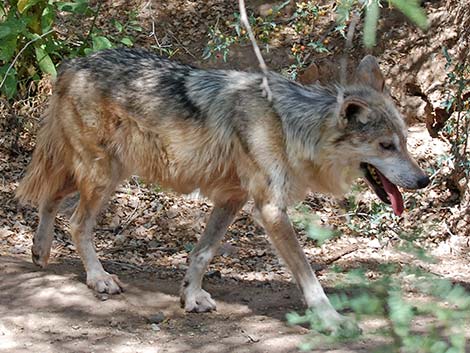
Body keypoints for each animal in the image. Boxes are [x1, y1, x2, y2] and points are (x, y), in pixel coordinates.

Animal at [16, 47, 430, 336]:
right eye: (386, 146)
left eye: (406, 143)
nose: (424, 180)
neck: (291, 127)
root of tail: (74, 62)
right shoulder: (270, 209)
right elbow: (310, 277)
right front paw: (330, 320)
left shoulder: (233, 198)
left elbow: (203, 252)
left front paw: (190, 296)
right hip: (102, 176)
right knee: (76, 223)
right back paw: (98, 278)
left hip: (102, 173)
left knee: (49, 199)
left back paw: (40, 251)